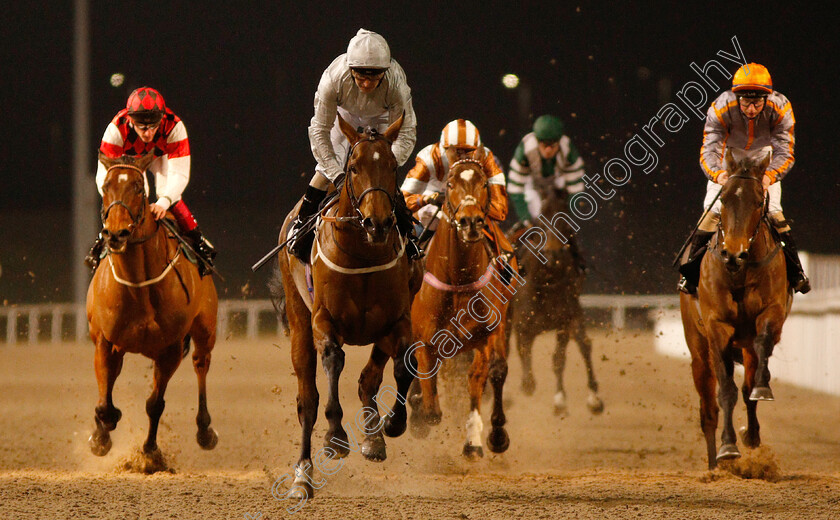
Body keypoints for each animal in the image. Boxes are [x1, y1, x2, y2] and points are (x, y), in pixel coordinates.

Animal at [86, 152, 218, 462]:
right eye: (106, 186)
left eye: (138, 188)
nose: (116, 234)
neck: (138, 285)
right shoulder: (104, 341)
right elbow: (104, 402)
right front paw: (101, 435)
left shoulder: (169, 348)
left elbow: (155, 404)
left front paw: (150, 452)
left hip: (205, 330)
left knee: (201, 364)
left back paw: (205, 430)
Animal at [270, 115, 420, 500]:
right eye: (353, 168)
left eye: (393, 167)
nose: (377, 222)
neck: (363, 252)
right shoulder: (324, 321)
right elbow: (333, 363)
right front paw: (335, 436)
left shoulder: (398, 319)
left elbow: (404, 365)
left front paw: (392, 424)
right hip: (298, 321)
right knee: (306, 401)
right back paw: (302, 477)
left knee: (369, 379)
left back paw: (374, 438)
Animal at [406, 149, 516, 460]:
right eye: (450, 184)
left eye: (483, 184)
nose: (470, 221)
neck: (457, 278)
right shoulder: (424, 339)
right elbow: (430, 405)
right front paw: (419, 413)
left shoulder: (483, 339)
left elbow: (477, 380)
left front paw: (474, 440)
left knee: (498, 370)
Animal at [506, 183, 604, 414]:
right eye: (541, 218)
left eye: (564, 218)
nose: (552, 253)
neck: (546, 281)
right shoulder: (522, 325)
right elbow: (523, 356)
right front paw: (527, 385)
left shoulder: (566, 320)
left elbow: (561, 357)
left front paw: (561, 399)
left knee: (583, 345)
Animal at [680, 148, 792, 470]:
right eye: (724, 199)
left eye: (757, 201)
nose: (733, 253)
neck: (738, 273)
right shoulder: (717, 328)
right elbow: (725, 391)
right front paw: (727, 447)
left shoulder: (771, 313)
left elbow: (754, 375)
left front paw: (761, 394)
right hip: (698, 351)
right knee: (708, 408)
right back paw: (714, 467)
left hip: (743, 345)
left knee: (747, 383)